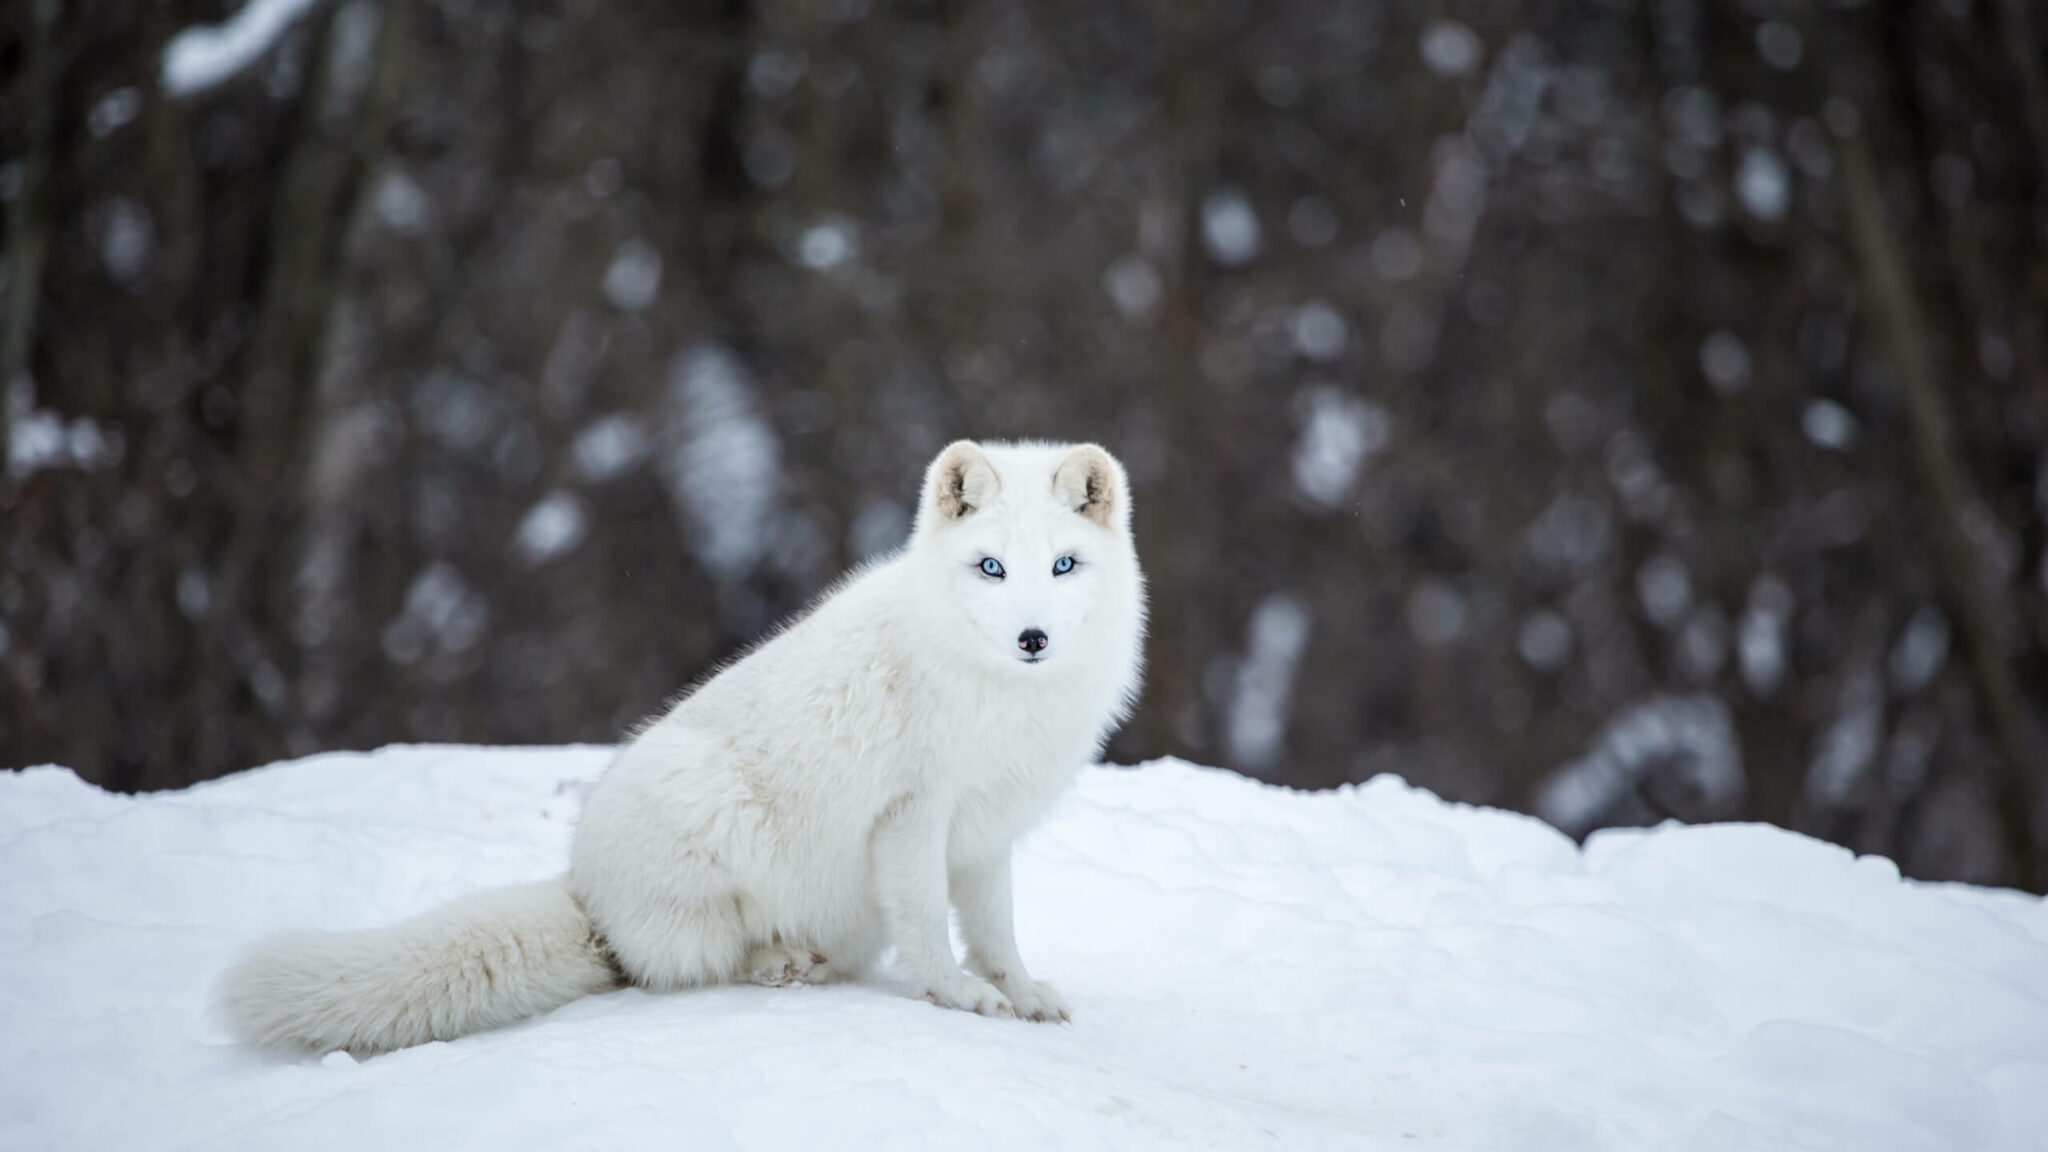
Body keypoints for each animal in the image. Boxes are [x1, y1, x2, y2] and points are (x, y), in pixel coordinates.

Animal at [228, 436, 1155, 1049]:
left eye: (1064, 565)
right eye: (991, 567)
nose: (1033, 637)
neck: (1003, 697)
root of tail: (585, 896)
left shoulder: (988, 832)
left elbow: (998, 931)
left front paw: (1022, 994)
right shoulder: (913, 816)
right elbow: (931, 924)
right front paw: (957, 996)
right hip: (713, 807)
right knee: (691, 964)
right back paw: (779, 961)